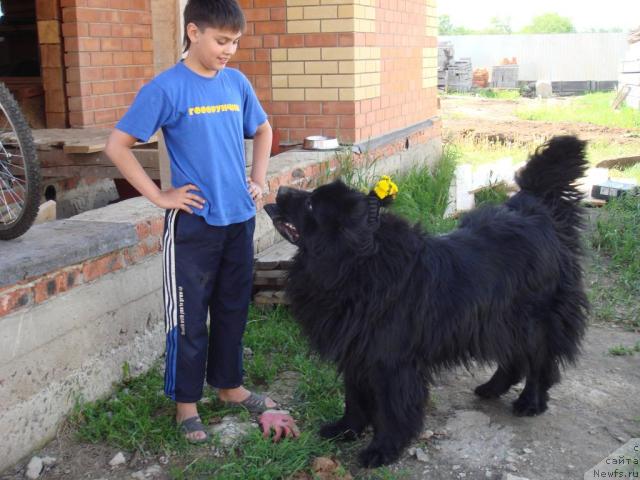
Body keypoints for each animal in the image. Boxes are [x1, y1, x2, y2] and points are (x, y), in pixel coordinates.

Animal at [264, 136, 592, 468]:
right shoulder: (358, 351)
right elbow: (354, 397)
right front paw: (345, 429)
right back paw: (491, 388)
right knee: (513, 358)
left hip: (532, 320)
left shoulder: (391, 362)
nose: (279, 190)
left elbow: (392, 409)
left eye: (310, 204)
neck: (358, 266)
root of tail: (537, 210)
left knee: (538, 360)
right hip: (496, 321)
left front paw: (382, 449)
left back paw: (530, 402)